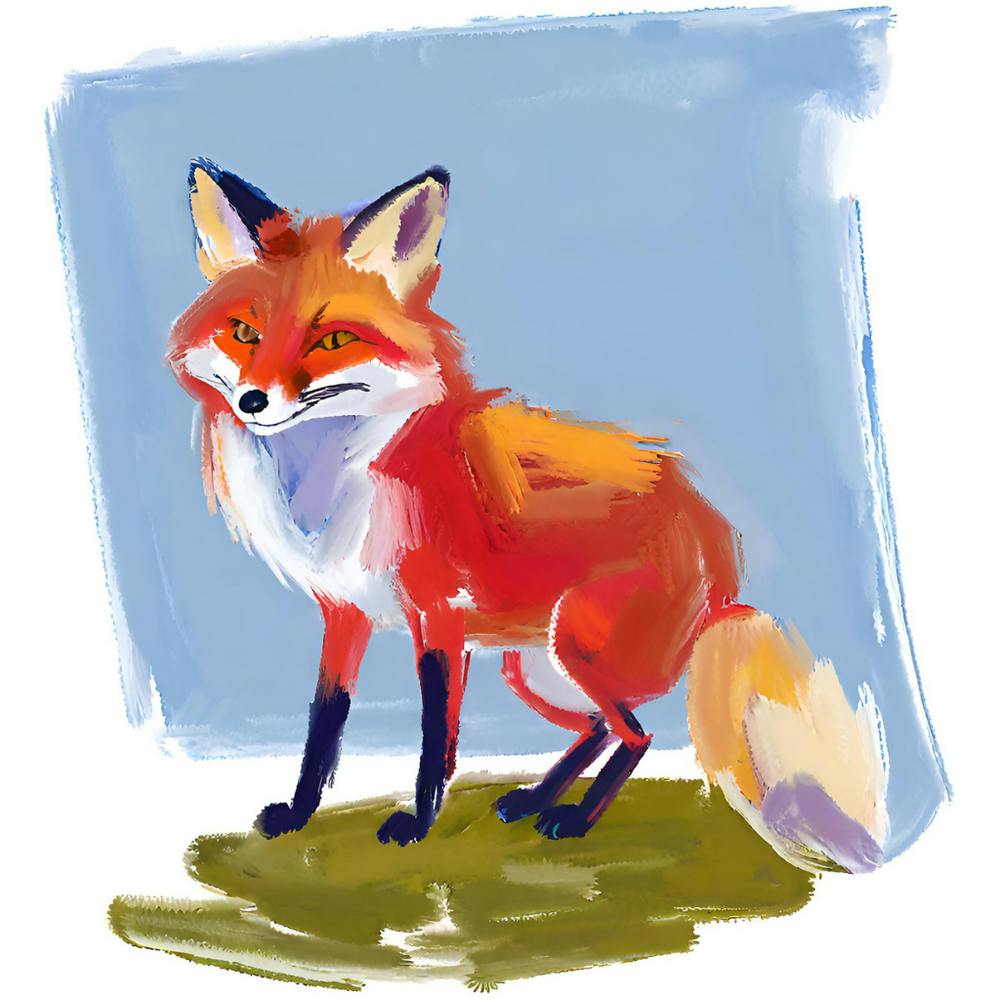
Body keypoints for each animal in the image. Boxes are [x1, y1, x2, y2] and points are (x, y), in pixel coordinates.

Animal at [168, 160, 889, 873]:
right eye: (246, 333)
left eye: (334, 339)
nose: (254, 400)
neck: (333, 479)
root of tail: (719, 556)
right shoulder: (344, 613)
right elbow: (324, 725)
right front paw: (298, 814)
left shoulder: (437, 614)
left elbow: (436, 736)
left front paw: (417, 825)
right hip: (533, 668)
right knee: (602, 726)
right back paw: (538, 799)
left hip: (572, 646)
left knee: (638, 733)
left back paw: (572, 819)